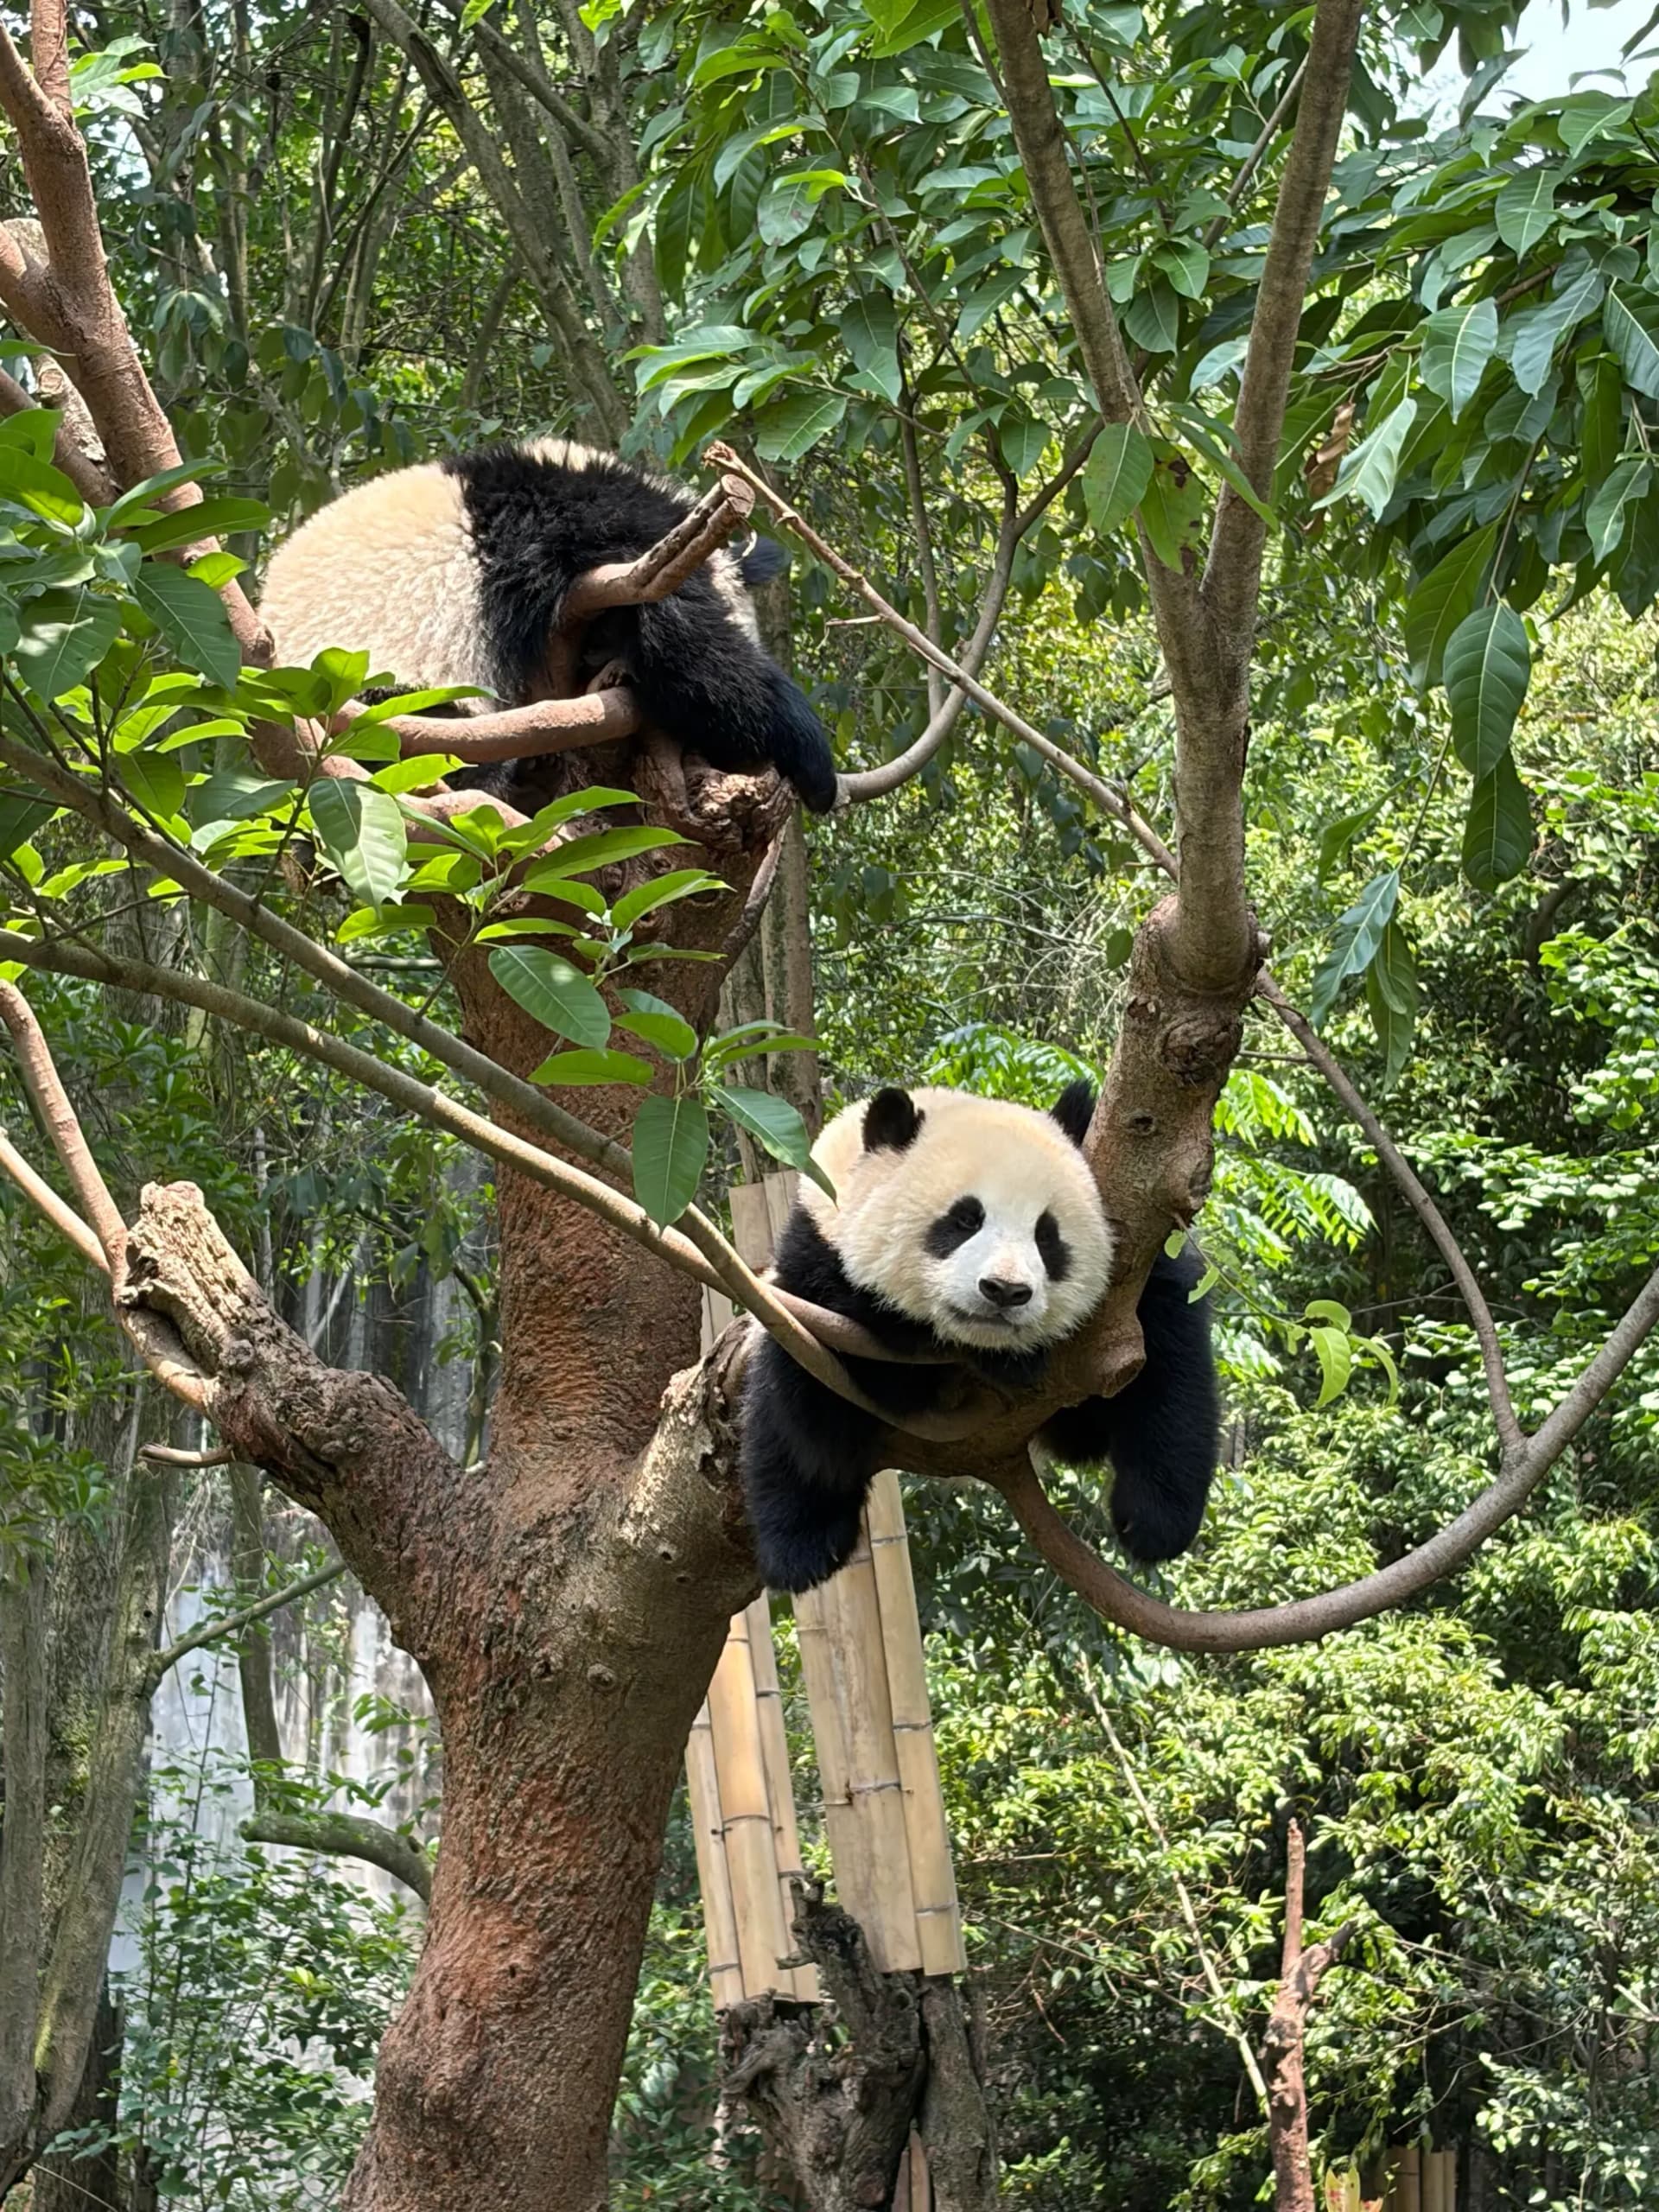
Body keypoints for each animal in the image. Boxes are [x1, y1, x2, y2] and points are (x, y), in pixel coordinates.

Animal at [740, 1079, 1221, 1593]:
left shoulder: (1138, 1287)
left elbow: (1167, 1368)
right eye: (965, 1220)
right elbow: (844, 1389)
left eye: (1046, 1235)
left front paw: (1154, 1523)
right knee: (783, 1433)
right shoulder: (814, 1260)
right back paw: (803, 1550)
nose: (1005, 1291)